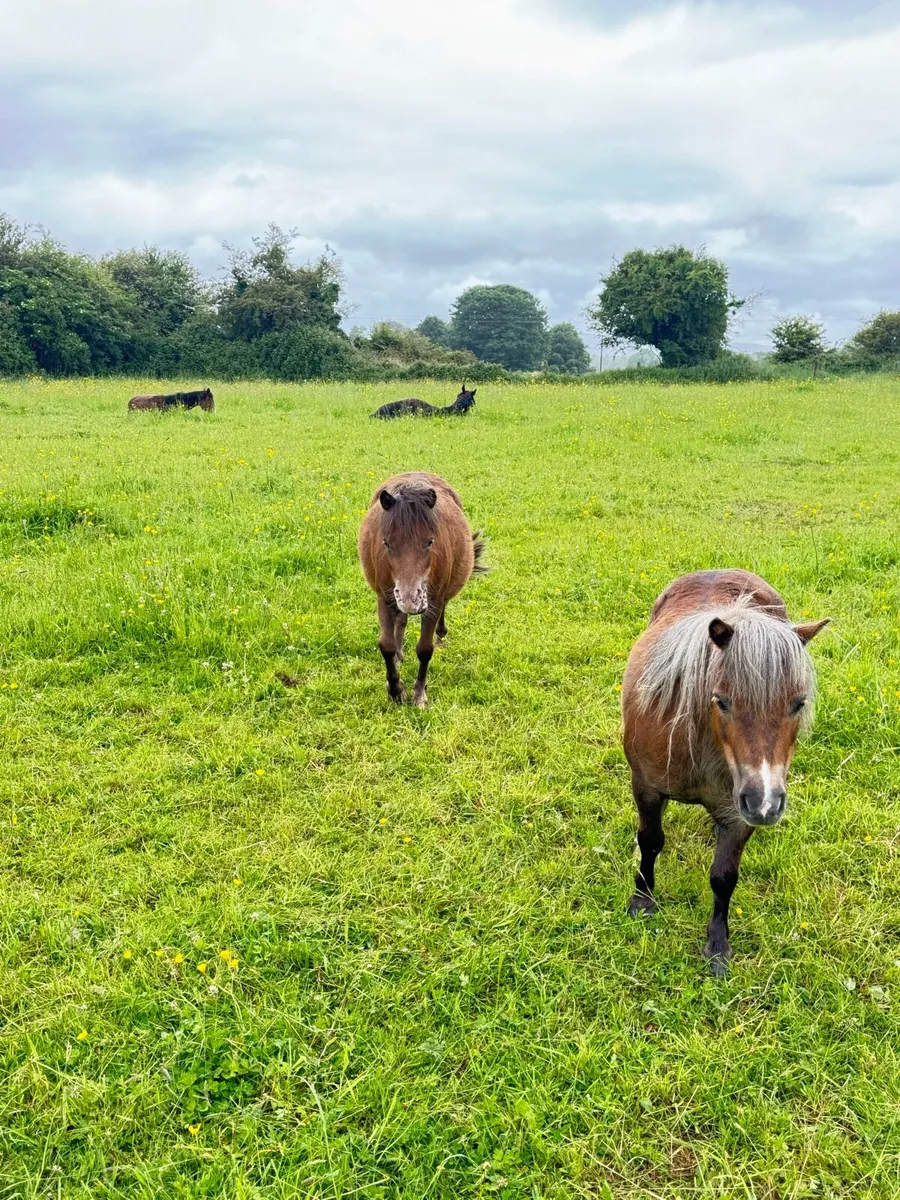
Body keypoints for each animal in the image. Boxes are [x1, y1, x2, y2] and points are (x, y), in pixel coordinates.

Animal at [358, 472, 485, 706]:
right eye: (386, 543)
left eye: (429, 542)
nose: (410, 599)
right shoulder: (384, 597)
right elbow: (386, 645)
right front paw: (395, 689)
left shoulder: (433, 600)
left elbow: (425, 649)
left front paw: (419, 694)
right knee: (401, 621)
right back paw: (400, 653)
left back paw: (441, 637)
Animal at [621, 569, 829, 975]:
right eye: (721, 701)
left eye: (798, 703)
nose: (765, 804)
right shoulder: (646, 787)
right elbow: (650, 840)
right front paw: (642, 901)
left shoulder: (737, 813)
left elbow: (723, 877)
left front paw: (717, 945)